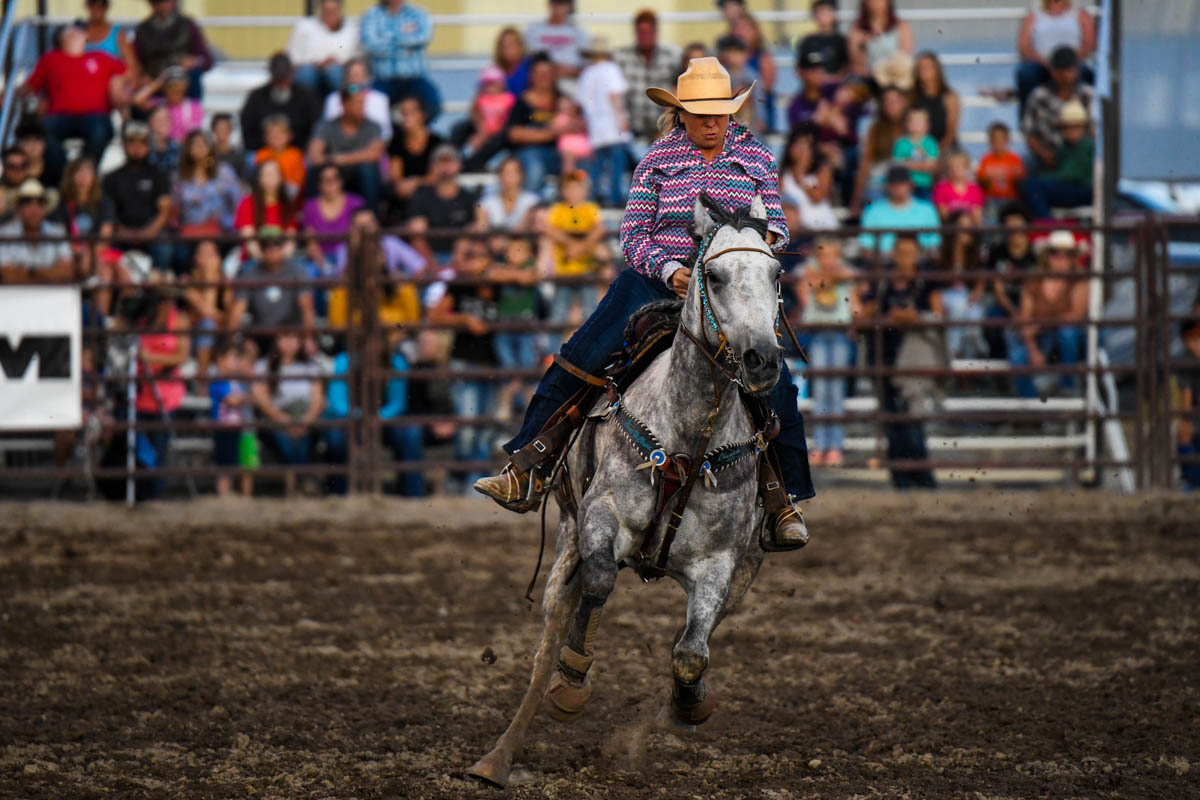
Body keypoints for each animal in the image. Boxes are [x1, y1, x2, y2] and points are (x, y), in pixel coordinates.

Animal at [463, 195, 782, 786]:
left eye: (775, 275)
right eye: (715, 275)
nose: (763, 361)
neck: (688, 434)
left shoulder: (721, 564)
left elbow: (691, 652)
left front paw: (689, 703)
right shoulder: (601, 517)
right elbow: (599, 582)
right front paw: (573, 682)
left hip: (748, 569)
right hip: (567, 539)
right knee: (548, 639)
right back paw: (499, 756)